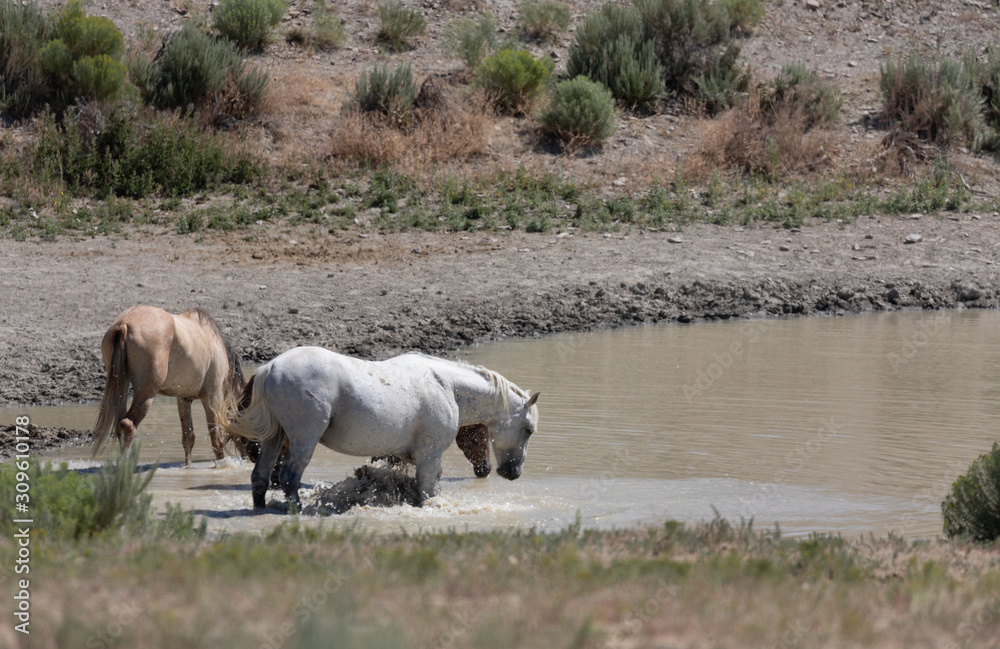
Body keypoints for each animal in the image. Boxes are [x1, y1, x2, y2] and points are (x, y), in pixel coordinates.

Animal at [92, 306, 245, 466]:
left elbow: (188, 438)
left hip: (122, 387)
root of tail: (124, 323)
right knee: (128, 425)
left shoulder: (184, 399)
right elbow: (217, 440)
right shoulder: (212, 396)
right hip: (146, 394)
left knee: (120, 425)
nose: (249, 456)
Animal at [216, 347, 540, 509]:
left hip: (274, 438)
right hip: (303, 440)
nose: (513, 472)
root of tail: (270, 367)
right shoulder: (429, 456)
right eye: (528, 430)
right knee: (288, 477)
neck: (447, 385)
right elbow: (426, 492)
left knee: (260, 477)